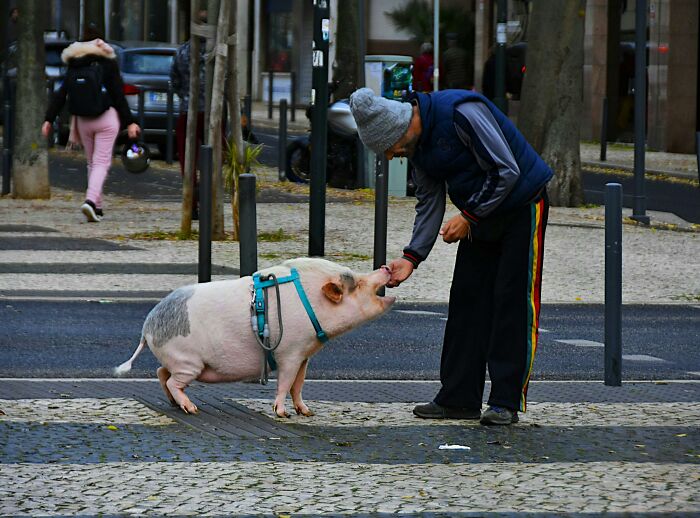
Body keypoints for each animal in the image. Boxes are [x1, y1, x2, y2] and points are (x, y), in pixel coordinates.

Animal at [115, 258, 394, 418]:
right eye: (355, 284)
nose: (386, 267)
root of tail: (147, 327)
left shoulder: (305, 356)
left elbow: (298, 385)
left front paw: (307, 412)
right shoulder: (289, 352)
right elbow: (285, 383)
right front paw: (282, 414)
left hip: (180, 361)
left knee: (161, 373)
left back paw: (176, 405)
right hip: (188, 362)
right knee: (172, 380)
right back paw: (191, 409)